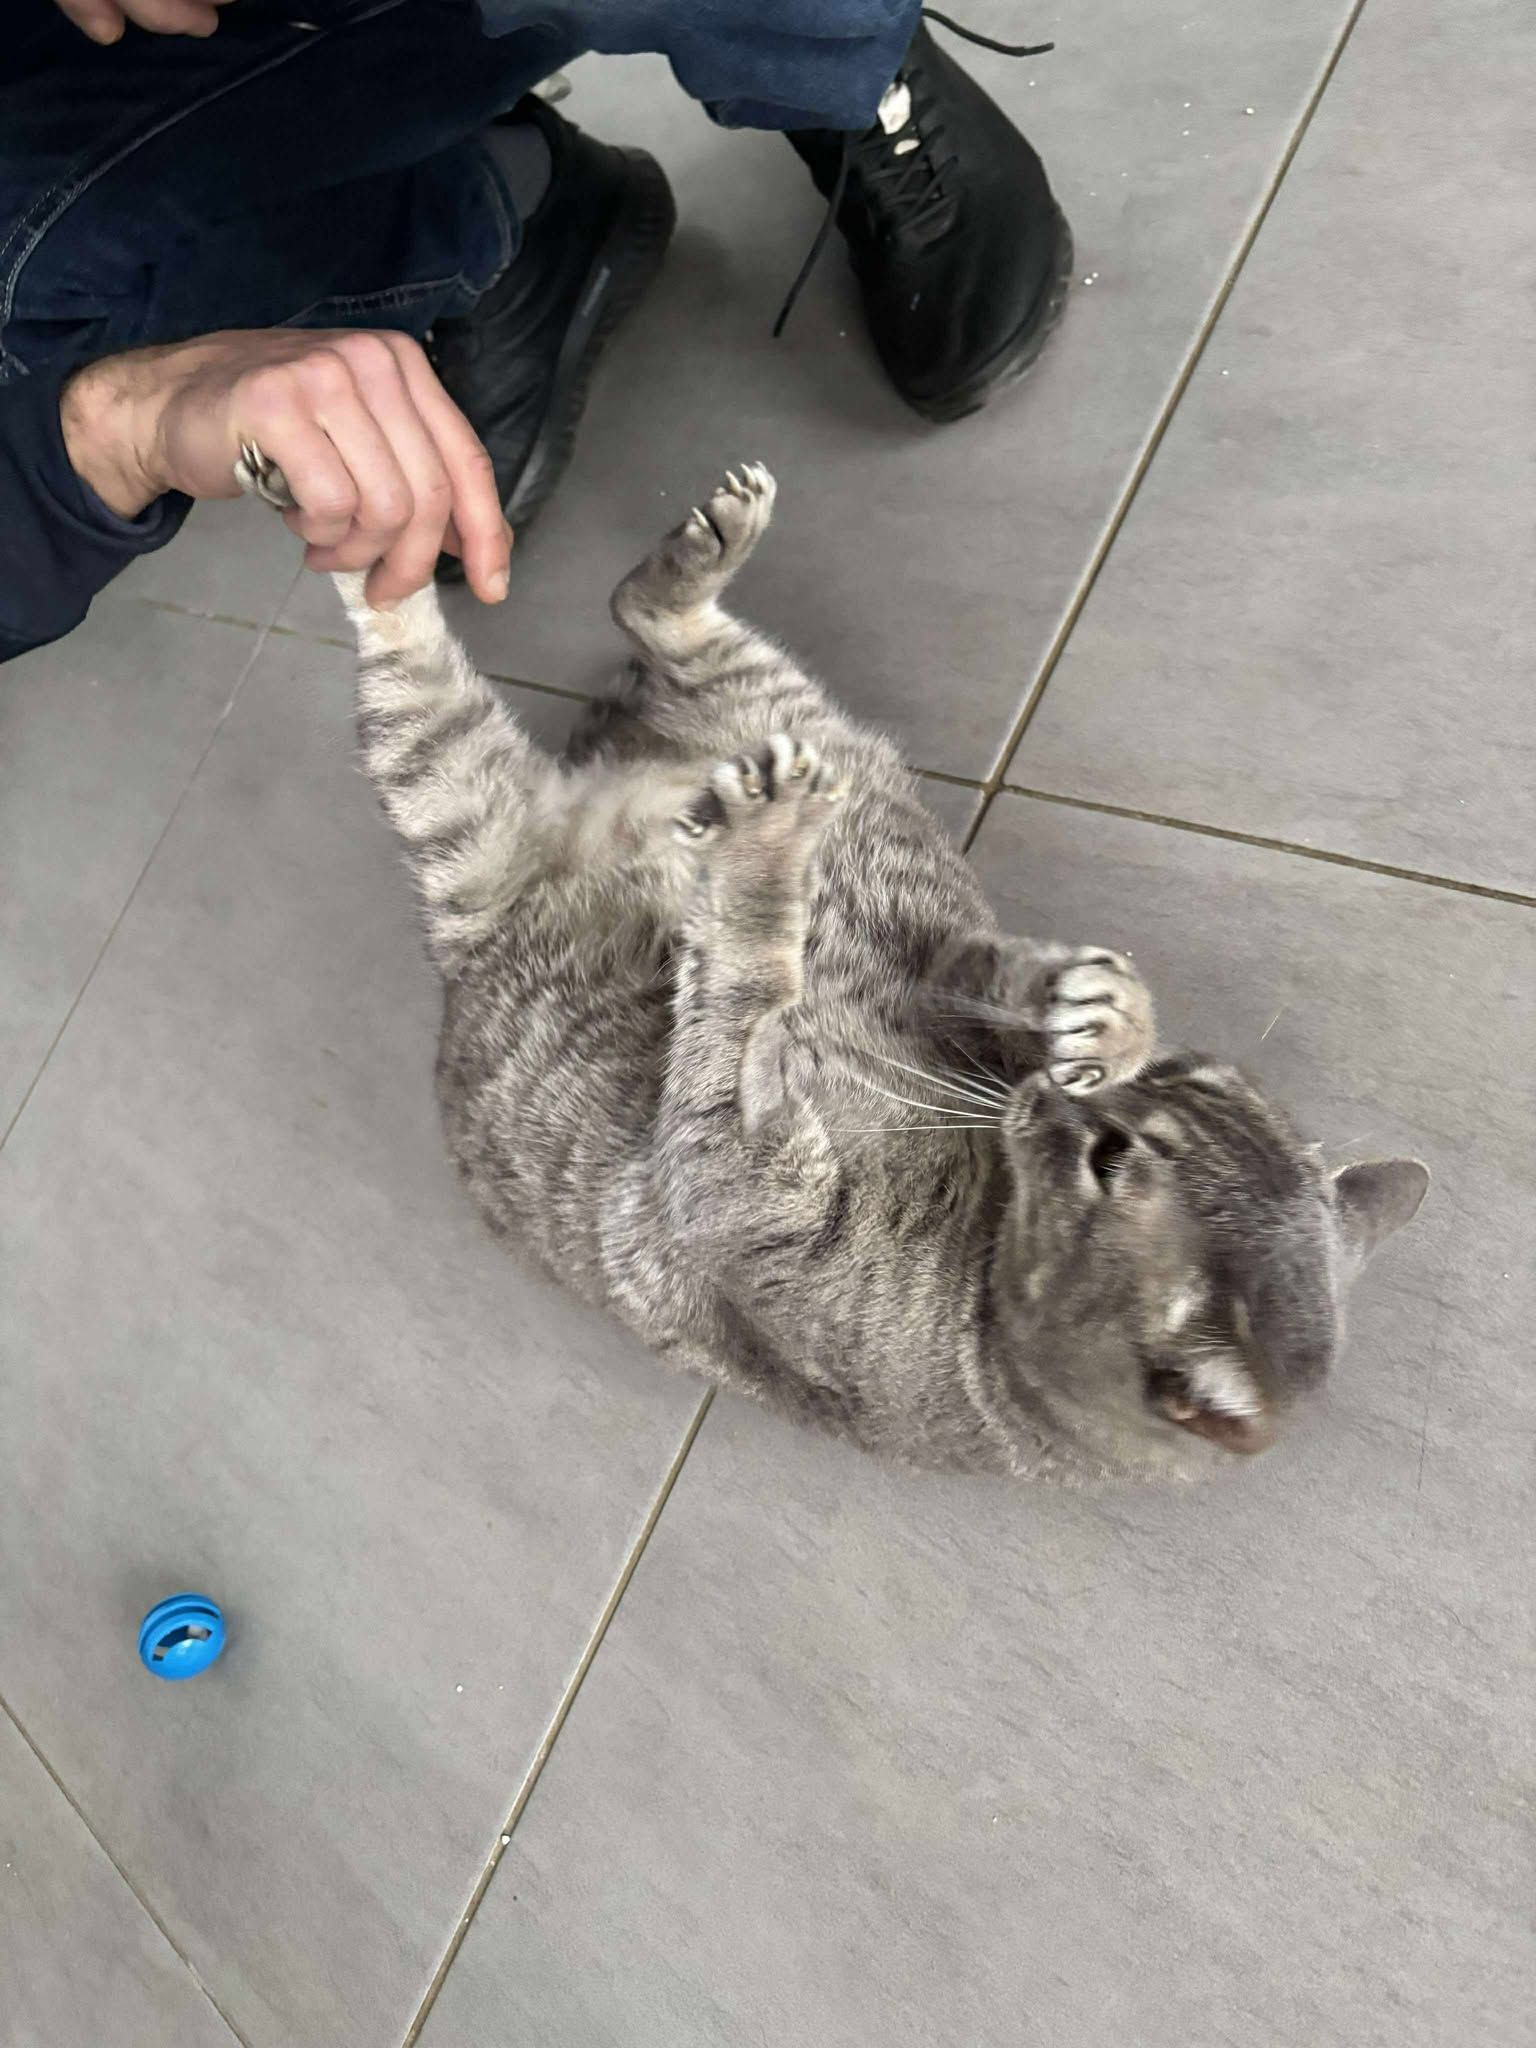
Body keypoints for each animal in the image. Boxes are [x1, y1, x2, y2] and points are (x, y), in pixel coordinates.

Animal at [299, 460, 1426, 1482]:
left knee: (445, 643)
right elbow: (994, 982)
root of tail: (465, 949)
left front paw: (757, 875)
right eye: (1187, 1078)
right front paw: (1109, 1017)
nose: (1060, 1102)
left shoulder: (730, 1182)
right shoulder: (934, 970)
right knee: (604, 609)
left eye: (1110, 1163)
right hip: (803, 754)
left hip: (461, 782)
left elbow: (745, 981)